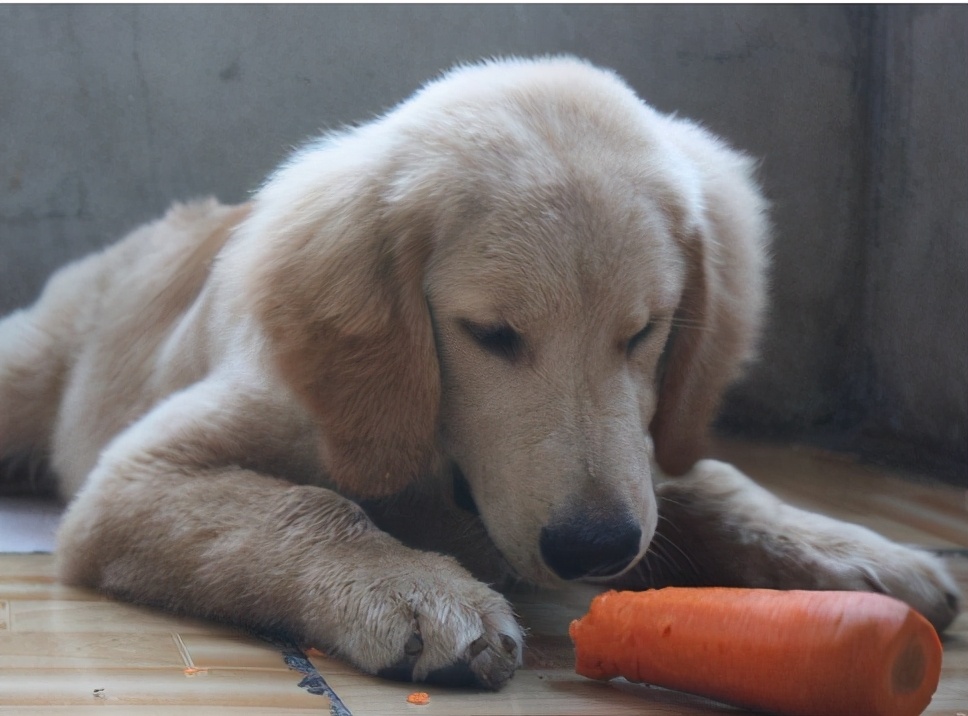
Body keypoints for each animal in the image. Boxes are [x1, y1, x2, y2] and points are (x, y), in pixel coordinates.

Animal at [0, 58, 960, 692]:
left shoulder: (634, 461)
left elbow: (708, 482)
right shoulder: (133, 478)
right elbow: (307, 506)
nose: (595, 549)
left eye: (645, 332)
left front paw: (854, 551)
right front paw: (416, 594)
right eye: (491, 335)